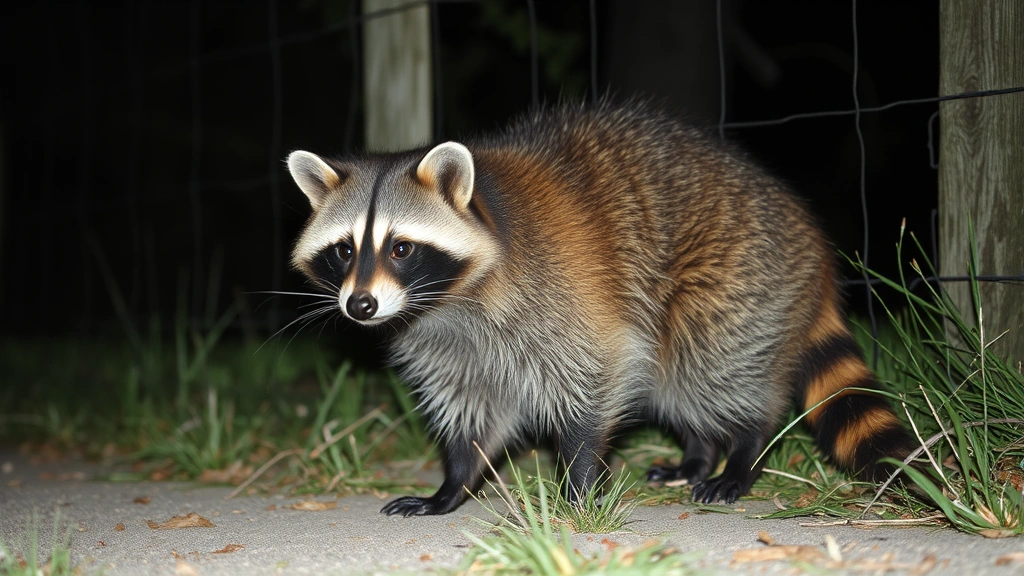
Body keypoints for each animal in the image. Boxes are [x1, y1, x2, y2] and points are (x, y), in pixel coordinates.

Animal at [287, 99, 915, 516]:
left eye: (400, 247)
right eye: (344, 250)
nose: (360, 304)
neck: (446, 302)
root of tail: (812, 242)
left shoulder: (563, 296)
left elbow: (593, 379)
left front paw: (580, 481)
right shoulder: (447, 344)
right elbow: (472, 408)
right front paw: (455, 482)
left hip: (738, 277)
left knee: (712, 364)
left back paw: (742, 446)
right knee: (679, 382)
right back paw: (700, 450)